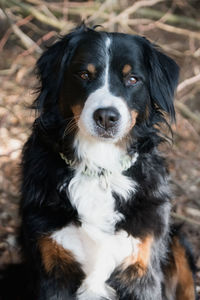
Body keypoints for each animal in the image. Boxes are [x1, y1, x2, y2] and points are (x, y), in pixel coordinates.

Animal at [0, 24, 196, 298]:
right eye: (84, 74)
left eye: (132, 79)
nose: (106, 117)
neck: (100, 168)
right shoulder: (52, 264)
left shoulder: (142, 267)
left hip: (177, 242)